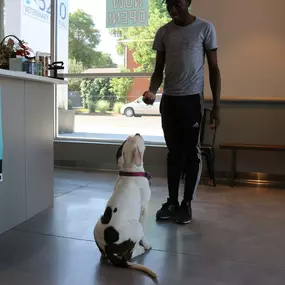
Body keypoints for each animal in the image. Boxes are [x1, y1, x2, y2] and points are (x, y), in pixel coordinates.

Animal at [93, 133, 156, 278]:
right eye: (137, 138)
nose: (138, 133)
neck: (130, 171)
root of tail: (108, 249)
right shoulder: (144, 208)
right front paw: (146, 244)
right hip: (137, 227)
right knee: (129, 256)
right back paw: (140, 249)